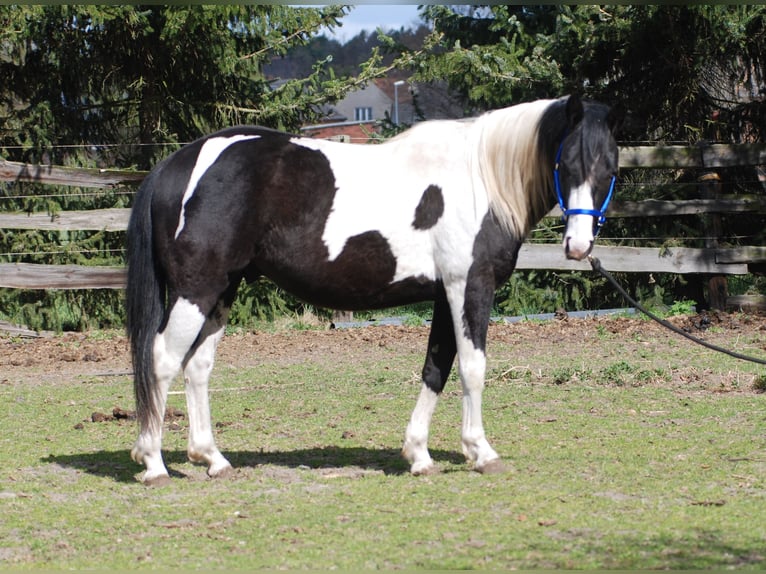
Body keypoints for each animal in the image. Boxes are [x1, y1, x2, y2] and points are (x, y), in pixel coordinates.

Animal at [126, 94, 621, 486]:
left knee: (197, 366)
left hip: (222, 291)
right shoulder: (470, 287)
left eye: (610, 167)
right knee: (163, 360)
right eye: (566, 163)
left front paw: (419, 455)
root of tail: (176, 165)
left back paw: (212, 458)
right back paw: (153, 464)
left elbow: (436, 368)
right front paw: (481, 452)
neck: (481, 180)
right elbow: (472, 368)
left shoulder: (444, 294)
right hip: (196, 289)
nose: (579, 246)